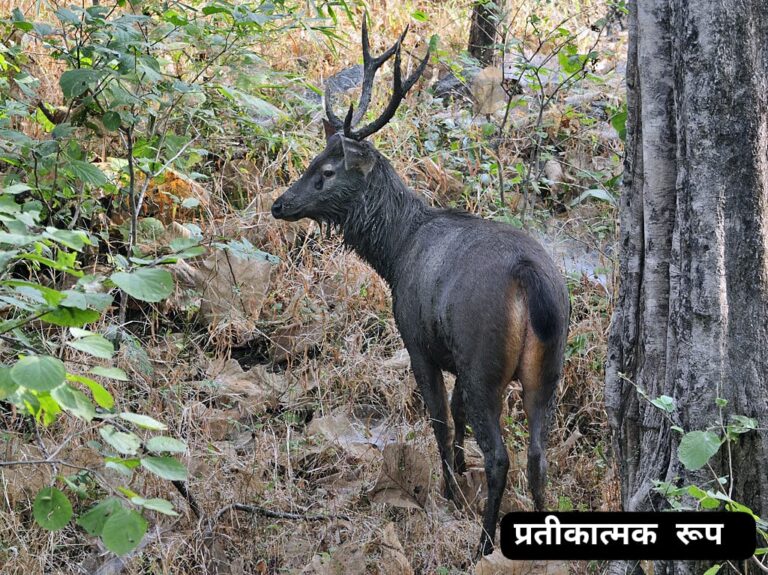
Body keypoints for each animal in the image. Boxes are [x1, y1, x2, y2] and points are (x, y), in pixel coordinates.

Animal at [272, 20, 568, 556]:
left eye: (326, 171)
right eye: (311, 160)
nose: (279, 204)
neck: (395, 253)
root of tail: (529, 278)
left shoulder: (418, 341)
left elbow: (440, 418)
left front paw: (449, 491)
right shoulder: (454, 357)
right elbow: (456, 416)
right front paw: (459, 479)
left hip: (485, 360)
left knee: (502, 456)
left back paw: (482, 544)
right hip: (548, 368)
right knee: (539, 455)